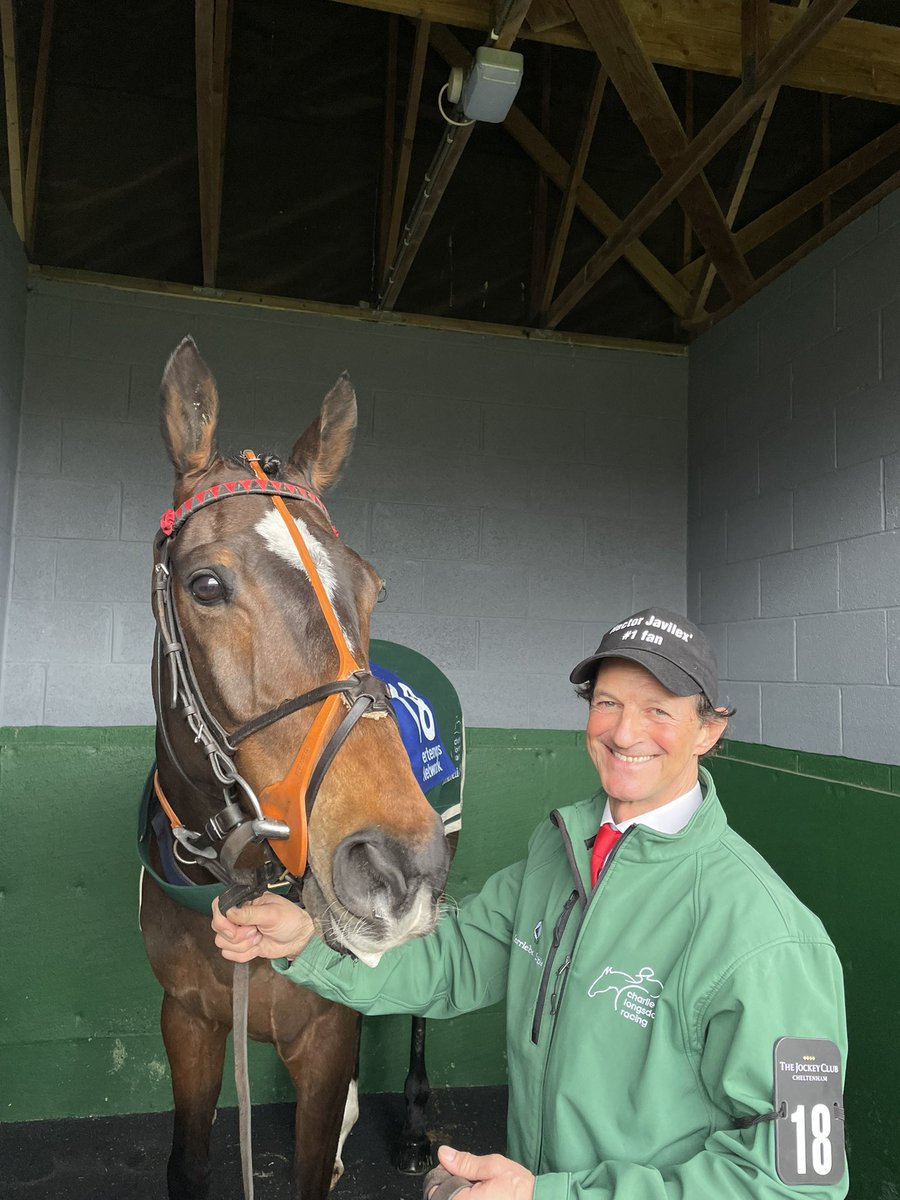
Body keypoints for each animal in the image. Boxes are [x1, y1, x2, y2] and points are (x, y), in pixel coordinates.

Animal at [140, 338, 453, 1200]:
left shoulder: (323, 1035)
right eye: (205, 583)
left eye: (373, 587)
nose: (396, 865)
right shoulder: (185, 1020)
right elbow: (186, 1162)